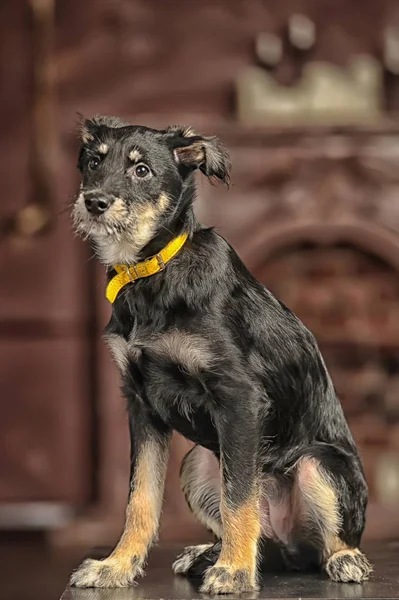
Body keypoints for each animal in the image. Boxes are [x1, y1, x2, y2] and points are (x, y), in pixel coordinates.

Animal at [70, 115, 374, 592]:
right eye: (94, 162)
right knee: (268, 540)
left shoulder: (238, 396)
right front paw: (115, 566)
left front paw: (233, 571)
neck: (152, 270)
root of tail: (292, 549)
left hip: (317, 463)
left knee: (324, 543)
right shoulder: (140, 403)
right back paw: (208, 552)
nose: (94, 202)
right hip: (197, 462)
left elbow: (239, 496)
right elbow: (140, 498)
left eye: (142, 170)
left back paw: (342, 559)